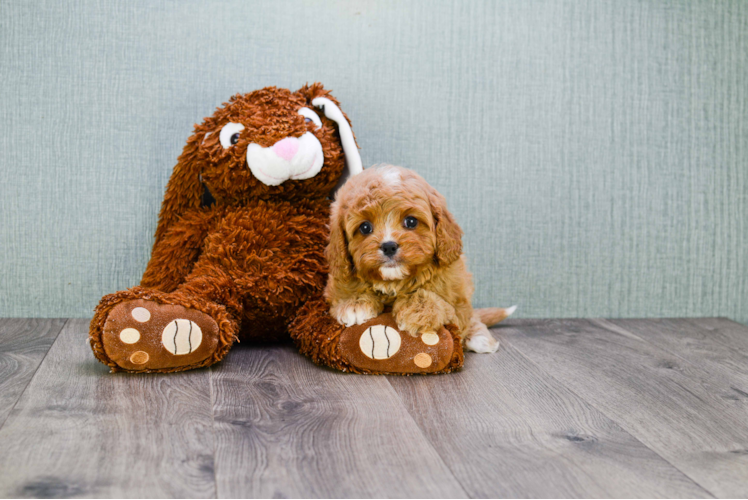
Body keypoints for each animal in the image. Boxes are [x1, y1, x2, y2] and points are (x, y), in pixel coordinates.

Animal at [324, 164, 516, 352]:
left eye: (411, 221)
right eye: (365, 227)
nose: (389, 246)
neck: (394, 282)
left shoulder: (455, 297)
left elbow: (441, 302)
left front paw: (418, 310)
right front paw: (355, 304)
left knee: (472, 318)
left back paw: (479, 338)